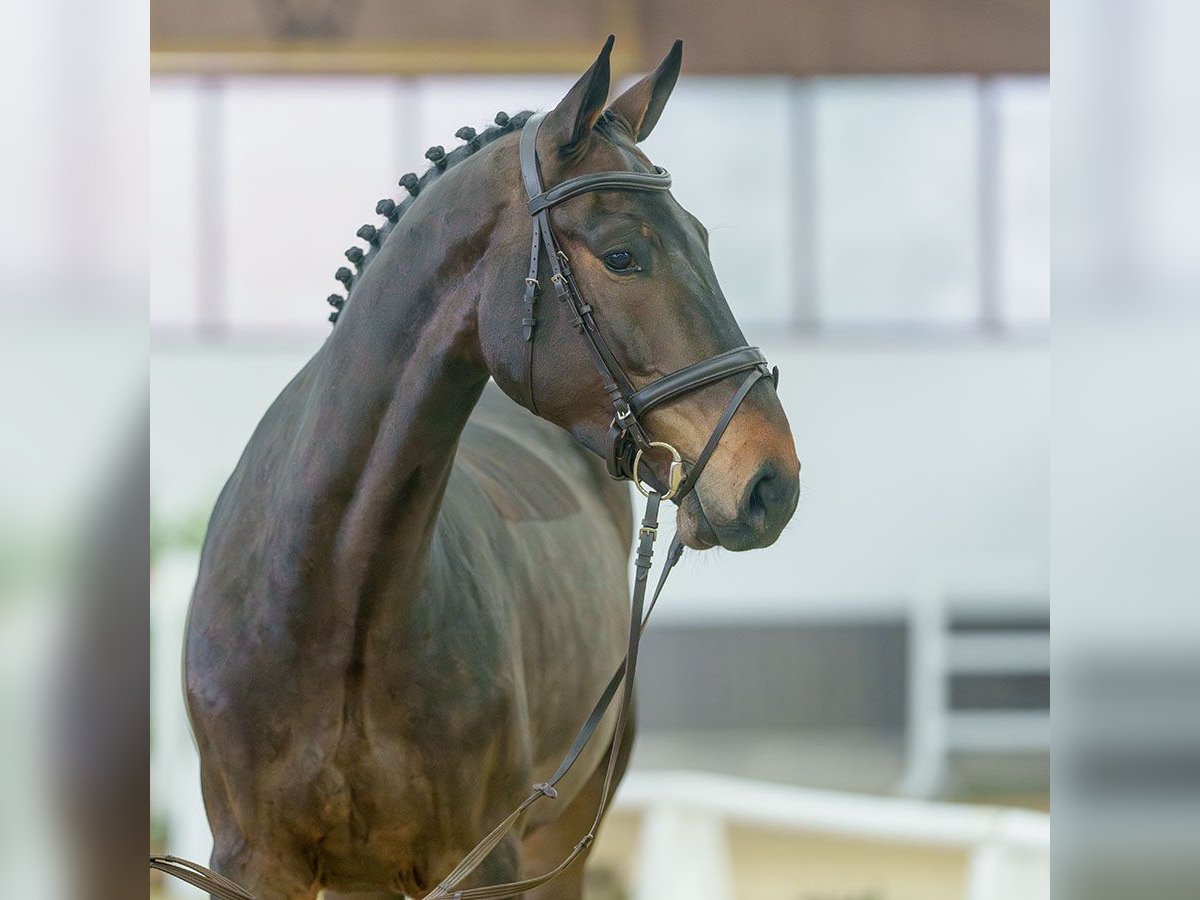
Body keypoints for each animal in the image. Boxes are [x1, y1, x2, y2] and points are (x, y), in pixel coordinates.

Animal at [187, 38, 801, 900]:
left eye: (705, 240)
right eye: (623, 255)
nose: (771, 481)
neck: (337, 597)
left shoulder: (484, 859)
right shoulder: (248, 862)